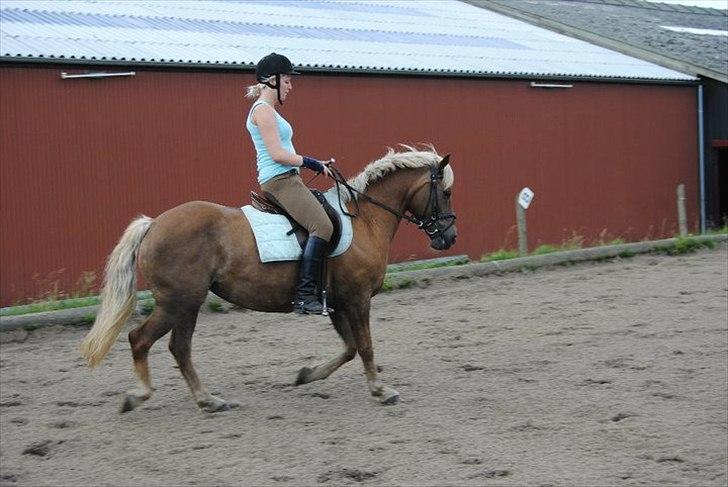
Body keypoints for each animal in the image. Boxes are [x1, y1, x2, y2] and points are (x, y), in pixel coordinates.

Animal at [78, 147, 456, 414]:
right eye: (447, 193)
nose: (449, 238)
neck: (364, 219)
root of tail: (154, 224)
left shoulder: (336, 302)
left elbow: (349, 348)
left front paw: (308, 374)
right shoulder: (357, 299)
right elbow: (364, 346)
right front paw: (380, 390)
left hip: (188, 304)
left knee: (179, 348)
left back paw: (208, 400)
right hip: (178, 302)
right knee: (141, 339)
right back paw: (140, 395)